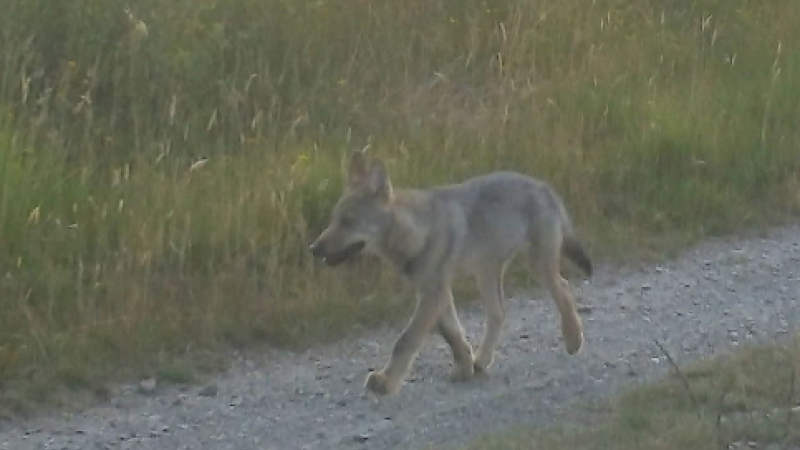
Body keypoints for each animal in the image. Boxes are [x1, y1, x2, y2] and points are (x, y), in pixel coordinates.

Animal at [309, 151, 593, 396]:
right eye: (334, 220)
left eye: (348, 221)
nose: (313, 248)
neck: (416, 233)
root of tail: (544, 186)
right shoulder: (437, 293)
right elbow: (453, 335)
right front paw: (465, 367)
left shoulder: (433, 294)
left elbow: (406, 340)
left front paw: (386, 382)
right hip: (486, 275)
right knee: (499, 313)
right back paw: (482, 360)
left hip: (537, 266)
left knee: (564, 288)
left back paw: (573, 339)